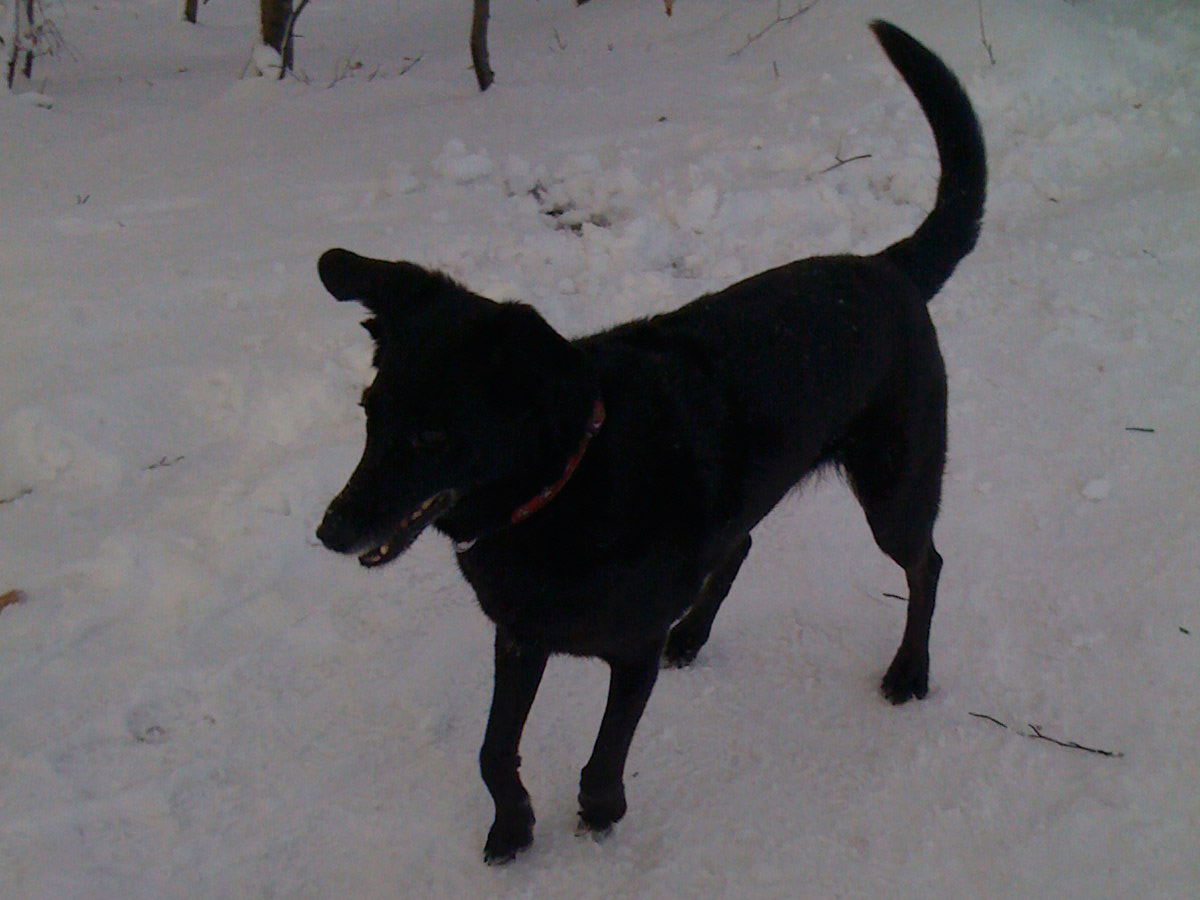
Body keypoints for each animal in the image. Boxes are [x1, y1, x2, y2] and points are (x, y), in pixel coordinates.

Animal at [316, 20, 985, 864]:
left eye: (432, 433)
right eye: (369, 413)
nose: (330, 530)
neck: (566, 486)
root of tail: (889, 265)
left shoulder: (627, 652)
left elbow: (605, 752)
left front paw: (600, 813)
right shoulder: (517, 636)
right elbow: (493, 750)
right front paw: (514, 826)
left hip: (896, 485)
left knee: (926, 564)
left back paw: (909, 671)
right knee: (740, 545)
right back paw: (693, 633)